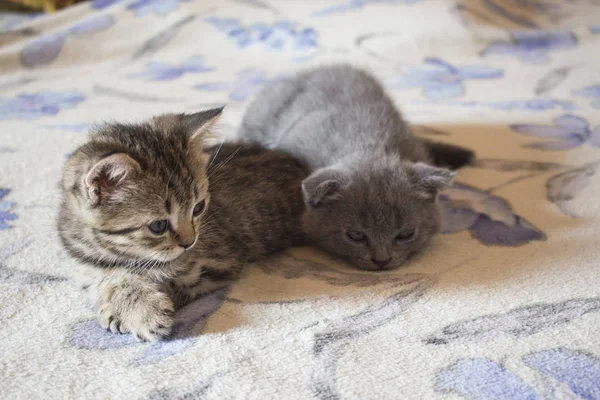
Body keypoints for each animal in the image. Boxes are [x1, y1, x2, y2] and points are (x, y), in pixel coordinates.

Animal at [58, 108, 308, 340]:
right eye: (158, 226)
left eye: (198, 208)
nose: (190, 242)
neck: (115, 252)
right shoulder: (80, 265)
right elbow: (104, 280)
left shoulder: (217, 265)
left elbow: (170, 282)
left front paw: (141, 311)